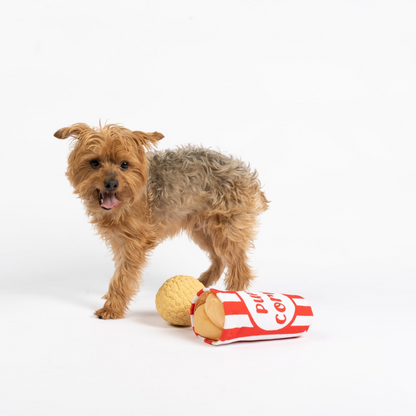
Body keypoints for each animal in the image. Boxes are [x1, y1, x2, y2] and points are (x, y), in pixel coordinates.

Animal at [55, 122, 268, 318]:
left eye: (124, 164)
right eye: (94, 163)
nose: (111, 183)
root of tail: (247, 177)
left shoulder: (134, 245)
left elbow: (123, 276)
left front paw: (112, 307)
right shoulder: (119, 241)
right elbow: (119, 272)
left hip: (227, 231)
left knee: (239, 267)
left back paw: (233, 295)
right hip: (203, 230)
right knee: (219, 259)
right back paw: (204, 281)